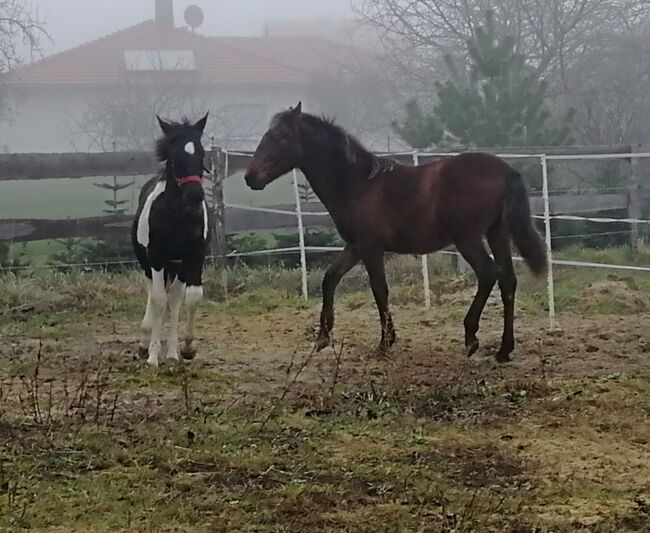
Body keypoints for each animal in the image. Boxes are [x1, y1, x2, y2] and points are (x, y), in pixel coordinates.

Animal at [132, 114, 210, 366]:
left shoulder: (195, 256)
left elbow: (191, 297)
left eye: (201, 154)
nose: (195, 195)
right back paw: (145, 343)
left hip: (176, 266)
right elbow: (158, 299)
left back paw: (173, 354)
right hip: (150, 264)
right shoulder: (156, 257)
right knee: (154, 292)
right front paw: (153, 357)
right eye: (175, 157)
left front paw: (185, 350)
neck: (177, 216)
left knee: (175, 297)